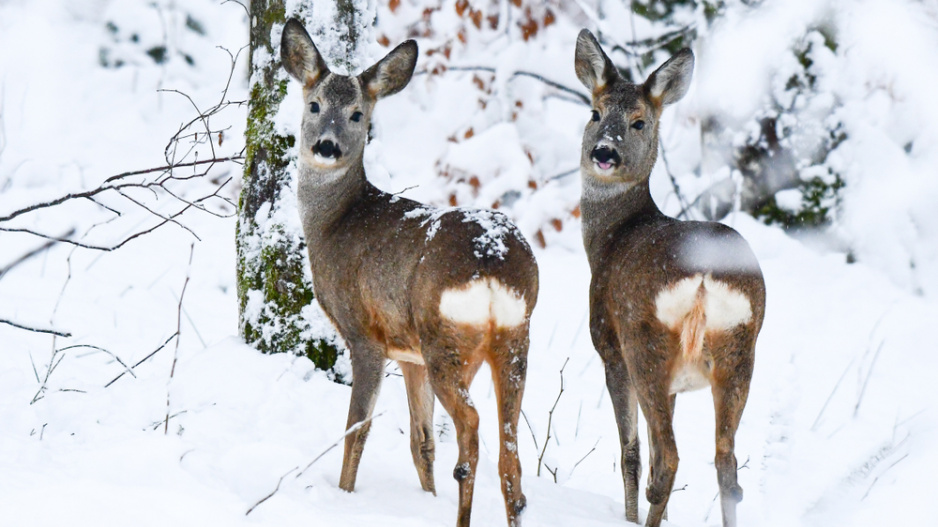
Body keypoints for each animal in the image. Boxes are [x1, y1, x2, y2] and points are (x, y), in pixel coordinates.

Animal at [282, 19, 536, 527]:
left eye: (357, 114)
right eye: (314, 105)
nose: (326, 146)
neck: (334, 222)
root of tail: (492, 259)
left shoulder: (365, 333)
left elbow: (356, 429)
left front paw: (344, 495)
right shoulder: (407, 352)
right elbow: (422, 442)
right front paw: (426, 499)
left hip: (445, 338)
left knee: (473, 427)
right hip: (514, 339)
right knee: (510, 450)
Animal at [576, 29, 764, 527]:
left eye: (639, 122)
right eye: (595, 113)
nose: (604, 153)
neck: (610, 237)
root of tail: (704, 275)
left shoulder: (609, 348)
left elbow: (631, 452)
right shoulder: (678, 382)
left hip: (645, 342)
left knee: (668, 460)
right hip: (740, 351)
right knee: (726, 465)